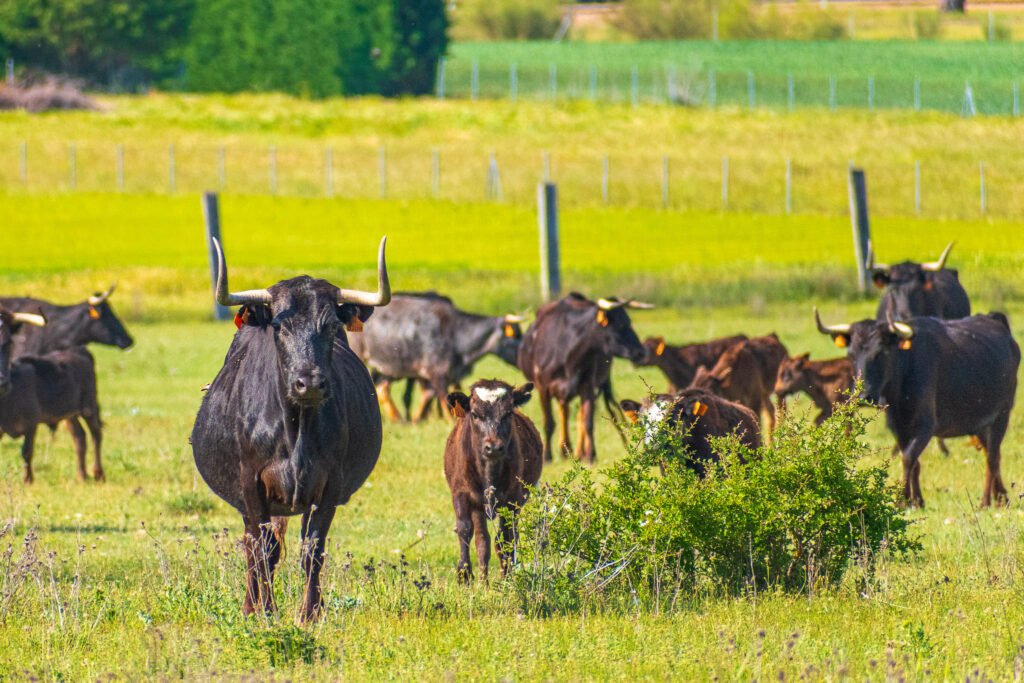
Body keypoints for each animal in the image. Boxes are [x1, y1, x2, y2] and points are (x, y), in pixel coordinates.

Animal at [190, 237, 390, 622]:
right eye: (281, 327)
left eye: (330, 326)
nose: (308, 383)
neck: (296, 427)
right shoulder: (251, 483)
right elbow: (263, 550)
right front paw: (266, 610)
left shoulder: (330, 484)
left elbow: (313, 548)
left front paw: (310, 612)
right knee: (253, 547)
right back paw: (250, 605)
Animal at [349, 292, 524, 422]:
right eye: (513, 335)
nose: (523, 356)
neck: (456, 335)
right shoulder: (437, 374)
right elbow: (445, 403)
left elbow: (428, 395)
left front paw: (416, 419)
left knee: (382, 388)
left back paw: (397, 418)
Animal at [443, 379, 542, 582]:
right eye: (474, 414)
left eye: (508, 413)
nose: (494, 447)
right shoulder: (461, 494)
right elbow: (465, 530)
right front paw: (465, 575)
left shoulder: (511, 501)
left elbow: (504, 540)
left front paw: (506, 579)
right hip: (478, 508)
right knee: (482, 541)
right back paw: (483, 581)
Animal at [517, 292, 652, 464]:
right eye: (620, 325)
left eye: (629, 322)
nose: (643, 352)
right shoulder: (543, 387)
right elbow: (549, 423)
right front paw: (547, 456)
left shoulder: (587, 385)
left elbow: (587, 421)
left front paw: (590, 455)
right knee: (564, 411)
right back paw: (565, 449)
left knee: (576, 414)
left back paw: (576, 452)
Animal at [815, 307, 1019, 508]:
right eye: (851, 355)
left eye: (881, 352)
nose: (864, 397)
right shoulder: (899, 428)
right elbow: (914, 463)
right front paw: (917, 500)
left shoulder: (925, 428)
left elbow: (908, 458)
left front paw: (902, 500)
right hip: (980, 425)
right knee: (993, 455)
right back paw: (1001, 497)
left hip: (1001, 416)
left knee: (991, 457)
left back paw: (985, 501)